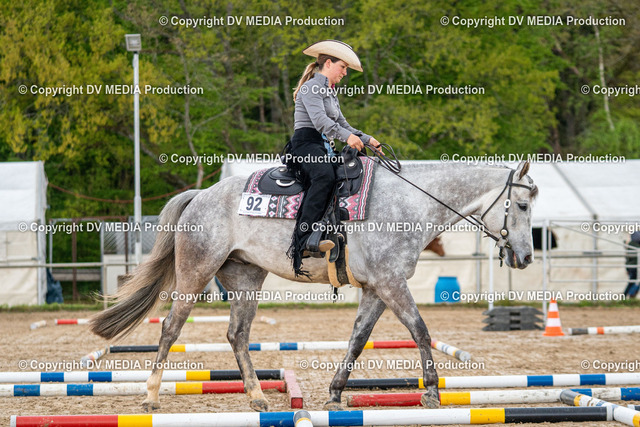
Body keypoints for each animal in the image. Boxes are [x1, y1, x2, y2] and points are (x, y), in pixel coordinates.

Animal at [89, 160, 537, 413]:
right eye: (523, 205)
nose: (526, 257)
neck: (409, 204)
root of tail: (200, 195)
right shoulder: (391, 283)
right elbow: (420, 330)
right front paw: (430, 393)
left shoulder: (377, 288)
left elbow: (358, 339)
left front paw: (336, 393)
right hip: (196, 272)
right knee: (171, 328)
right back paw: (151, 396)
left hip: (246, 279)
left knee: (237, 334)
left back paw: (257, 397)